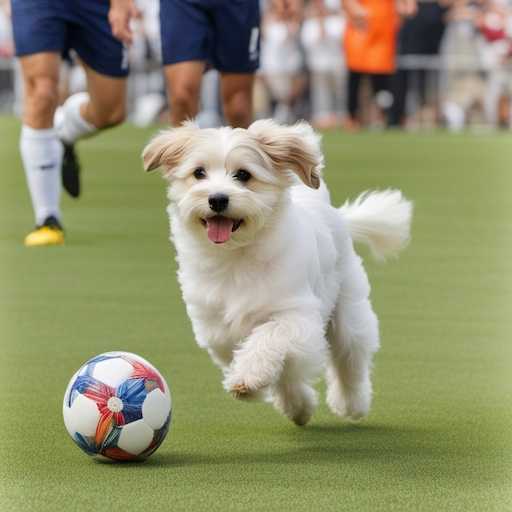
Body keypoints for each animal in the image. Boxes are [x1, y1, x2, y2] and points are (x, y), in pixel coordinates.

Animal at [143, 119, 412, 424]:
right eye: (199, 173)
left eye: (243, 175)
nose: (217, 199)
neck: (237, 257)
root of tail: (336, 216)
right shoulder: (215, 327)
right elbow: (268, 363)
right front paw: (294, 403)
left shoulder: (296, 315)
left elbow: (269, 339)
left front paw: (248, 379)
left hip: (348, 310)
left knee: (350, 357)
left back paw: (351, 404)